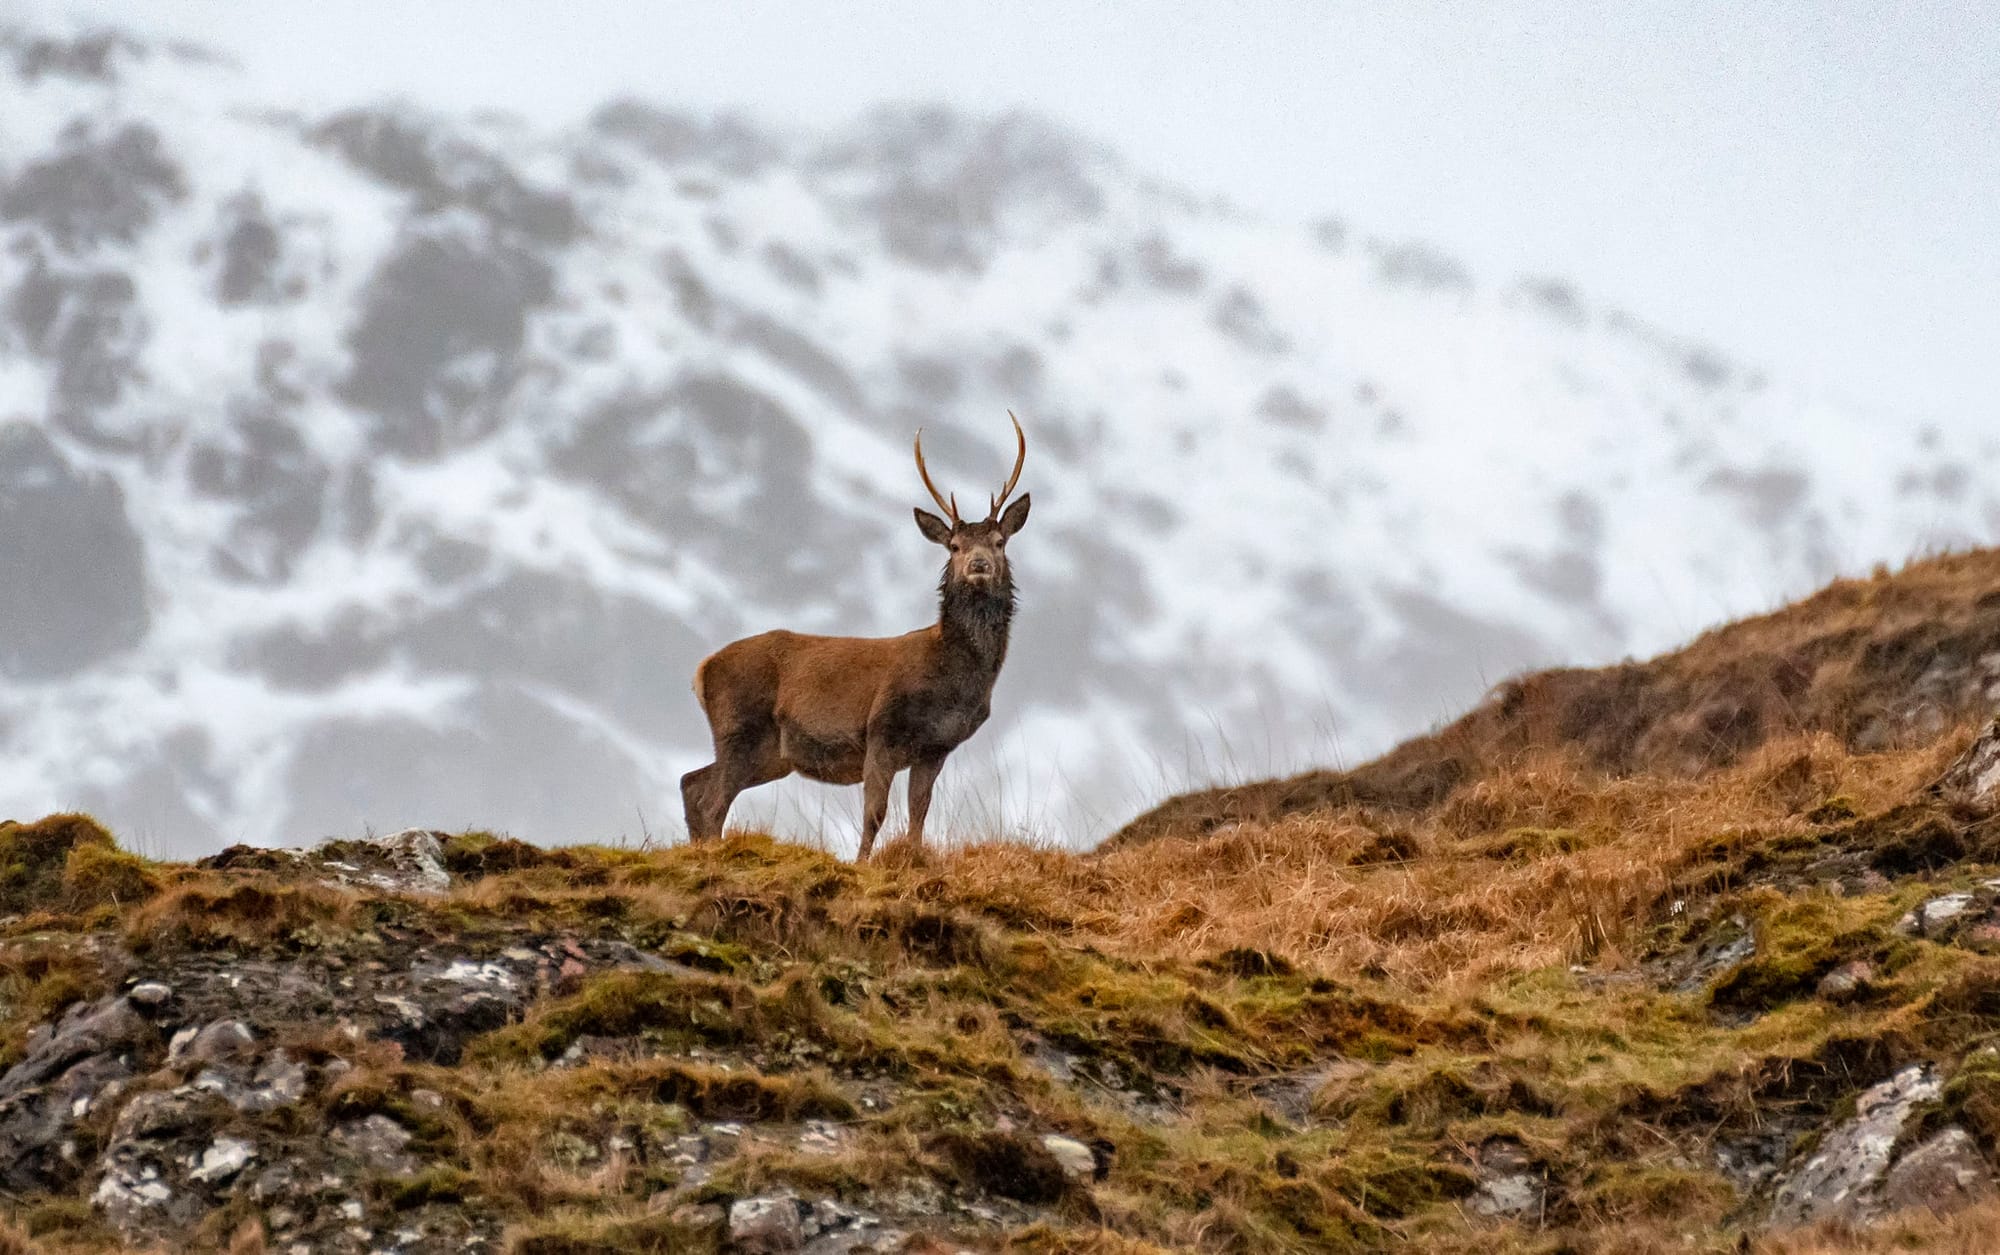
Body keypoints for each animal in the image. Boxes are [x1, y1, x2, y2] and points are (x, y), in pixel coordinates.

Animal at [681, 414, 1032, 860]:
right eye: (954, 546)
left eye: (1000, 542)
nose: (979, 564)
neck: (953, 678)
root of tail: (702, 669)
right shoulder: (881, 729)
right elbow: (875, 813)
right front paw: (862, 863)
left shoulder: (935, 747)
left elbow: (918, 813)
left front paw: (912, 857)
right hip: (738, 728)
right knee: (712, 801)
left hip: (769, 753)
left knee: (692, 783)